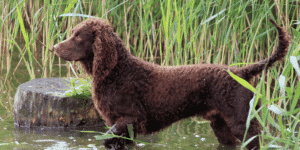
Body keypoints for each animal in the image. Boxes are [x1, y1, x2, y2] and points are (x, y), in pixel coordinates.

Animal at [54, 17, 288, 149]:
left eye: (78, 36)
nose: (54, 47)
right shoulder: (123, 125)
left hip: (242, 122)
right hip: (221, 125)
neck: (117, 71)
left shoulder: (131, 119)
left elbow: (106, 138)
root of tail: (241, 71)